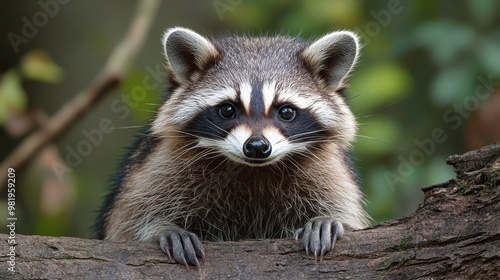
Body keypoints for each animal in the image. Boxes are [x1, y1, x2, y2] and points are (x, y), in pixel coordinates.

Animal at [96, 26, 372, 266]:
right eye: (228, 109)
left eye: (286, 112)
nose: (257, 146)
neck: (253, 169)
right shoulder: (158, 164)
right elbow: (127, 221)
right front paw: (162, 227)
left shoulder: (329, 170)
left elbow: (345, 210)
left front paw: (325, 219)